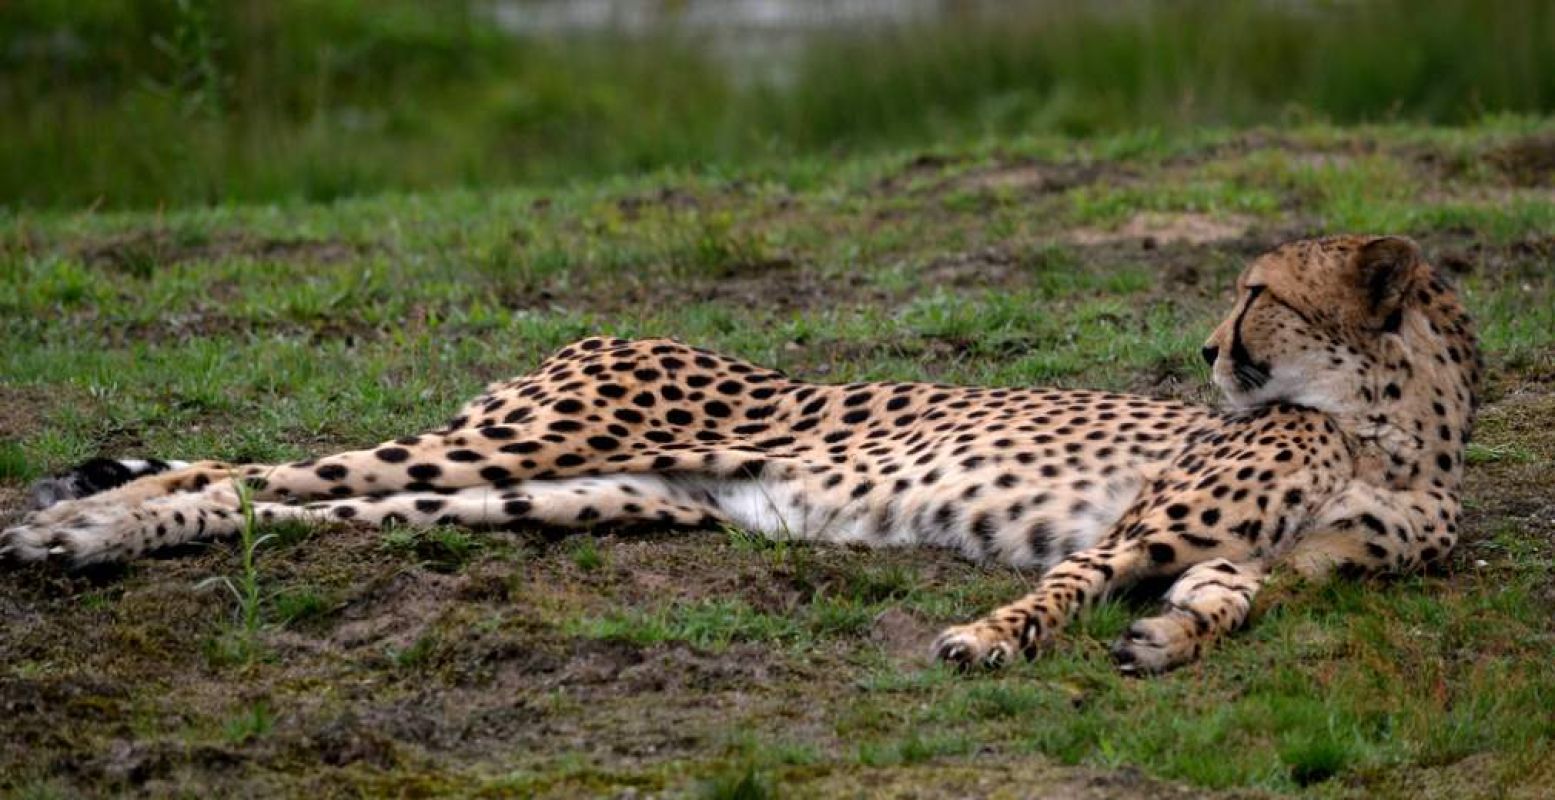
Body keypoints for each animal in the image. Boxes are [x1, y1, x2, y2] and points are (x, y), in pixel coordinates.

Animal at [3, 233, 1480, 669]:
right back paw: (74, 522)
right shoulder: (1140, 523)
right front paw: (987, 641)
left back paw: (100, 529)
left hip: (590, 496)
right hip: (547, 430)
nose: (1204, 349)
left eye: (1255, 295)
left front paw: (1170, 638)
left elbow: (1231, 598)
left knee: (298, 510)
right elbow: (1063, 583)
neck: (1393, 434)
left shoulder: (1265, 559)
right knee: (254, 473)